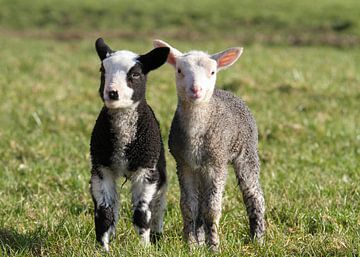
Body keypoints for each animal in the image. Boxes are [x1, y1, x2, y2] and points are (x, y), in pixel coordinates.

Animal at [89, 38, 169, 250]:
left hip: (160, 165)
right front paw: (103, 248)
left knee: (159, 201)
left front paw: (144, 248)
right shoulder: (101, 169)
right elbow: (105, 213)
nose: (112, 93)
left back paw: (157, 234)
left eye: (135, 74)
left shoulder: (146, 170)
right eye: (102, 70)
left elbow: (142, 214)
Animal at [153, 39, 266, 249]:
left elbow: (212, 209)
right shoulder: (184, 164)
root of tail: (228, 93)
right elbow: (188, 206)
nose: (196, 90)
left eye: (212, 72)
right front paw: (191, 245)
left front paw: (214, 246)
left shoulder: (217, 163)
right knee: (200, 202)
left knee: (254, 195)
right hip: (201, 168)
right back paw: (200, 238)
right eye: (179, 70)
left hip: (247, 151)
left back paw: (258, 238)